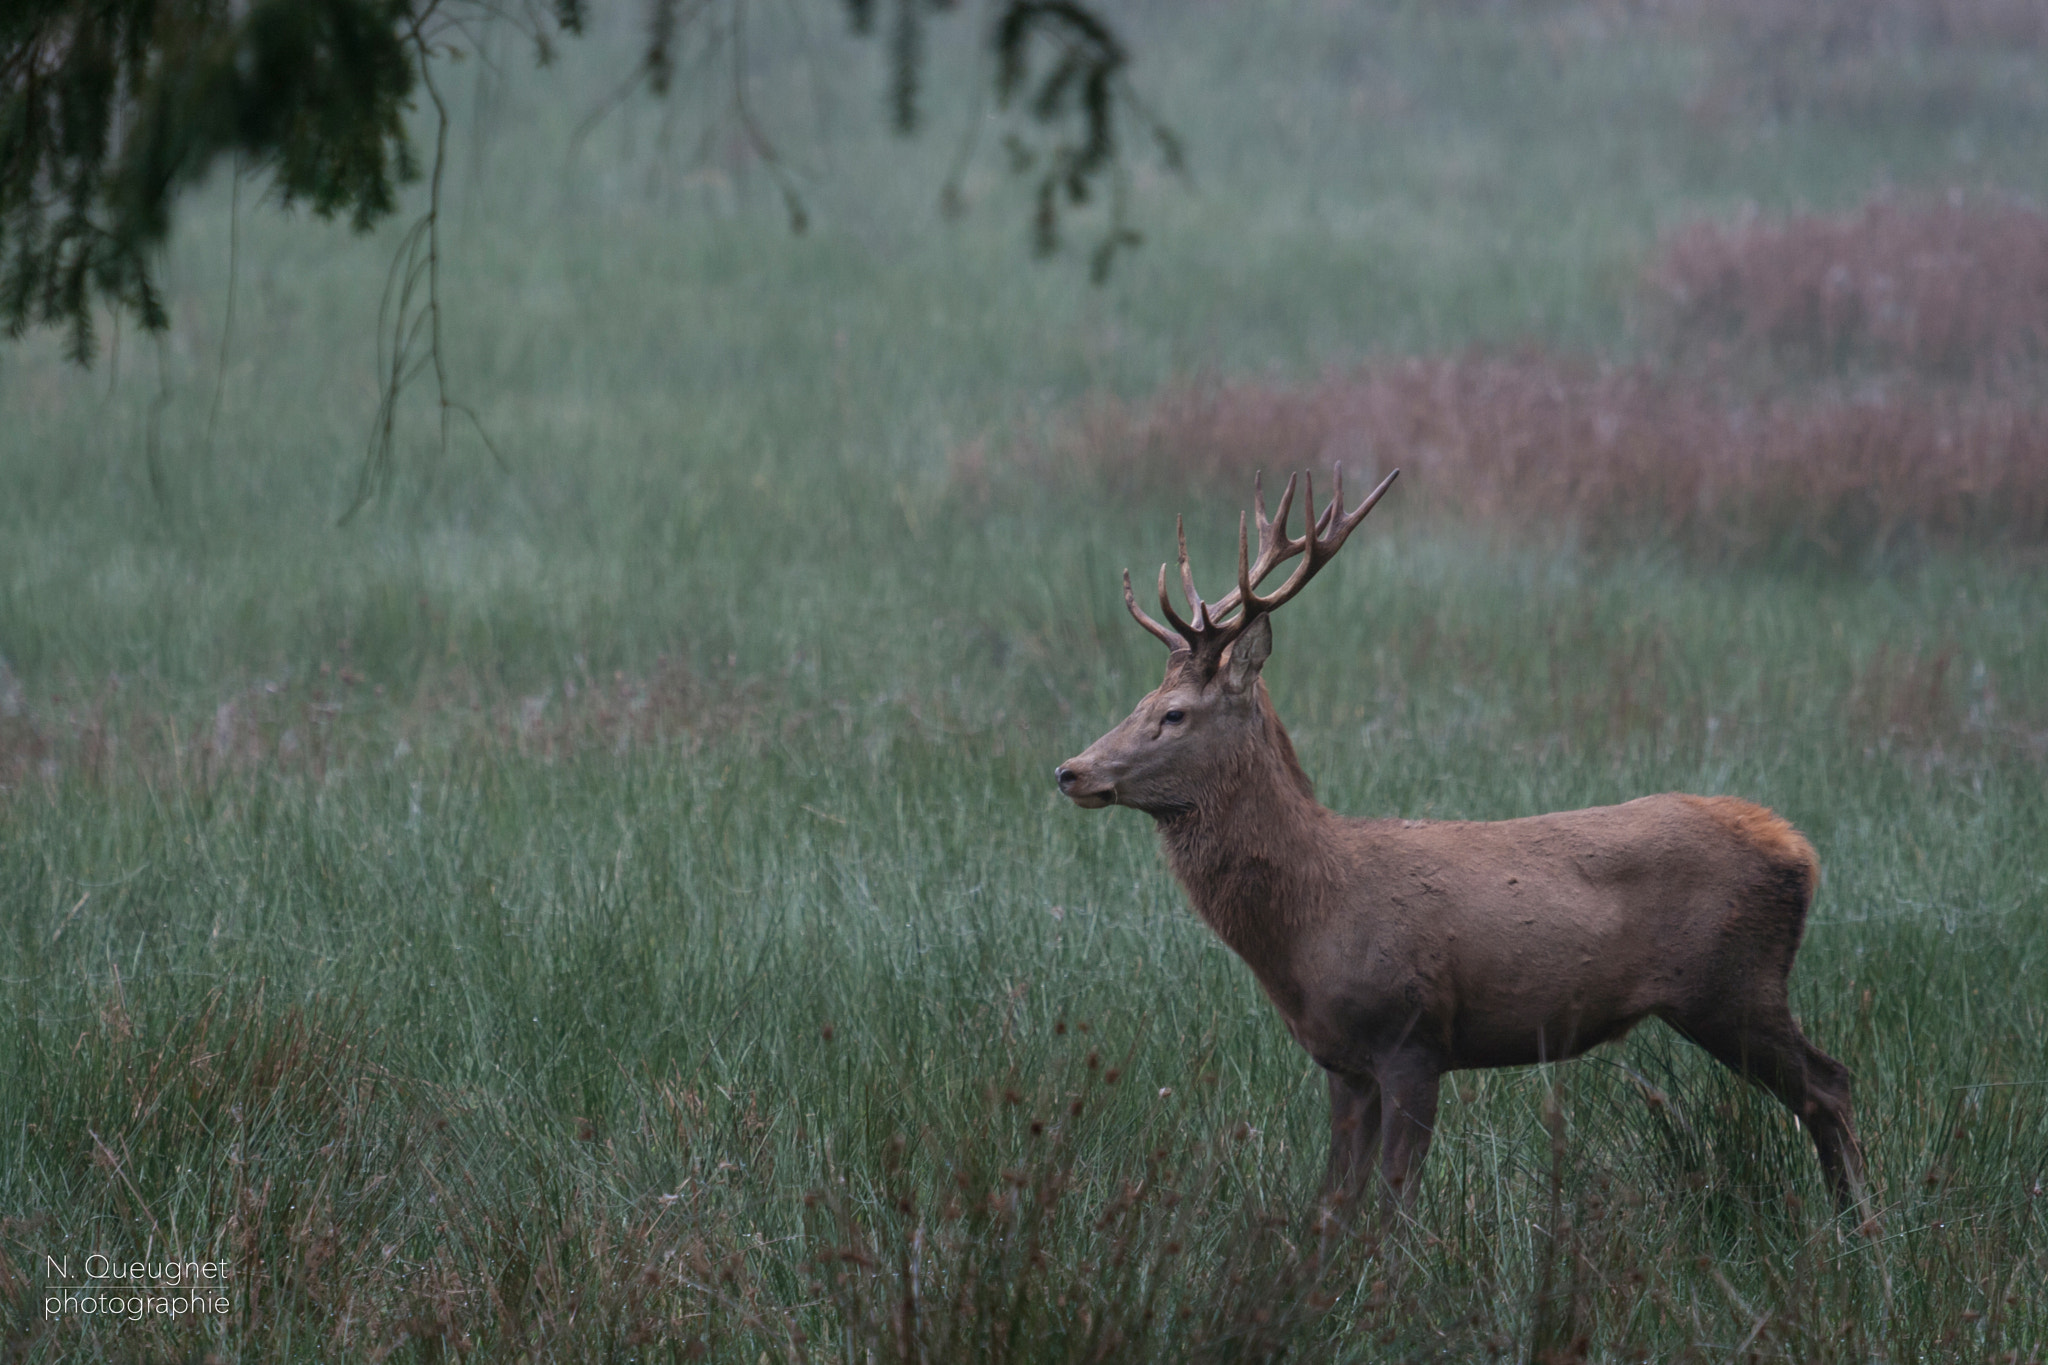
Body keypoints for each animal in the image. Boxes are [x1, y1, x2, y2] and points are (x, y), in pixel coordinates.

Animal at [1055, 469, 1868, 1216]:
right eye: (1139, 702)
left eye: (1174, 714)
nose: (1070, 770)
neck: (1310, 923)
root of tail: (1801, 850)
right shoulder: (1341, 1060)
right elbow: (1331, 1206)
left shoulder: (1414, 1035)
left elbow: (1393, 1205)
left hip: (1732, 983)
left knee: (1832, 1085)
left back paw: (1859, 1234)